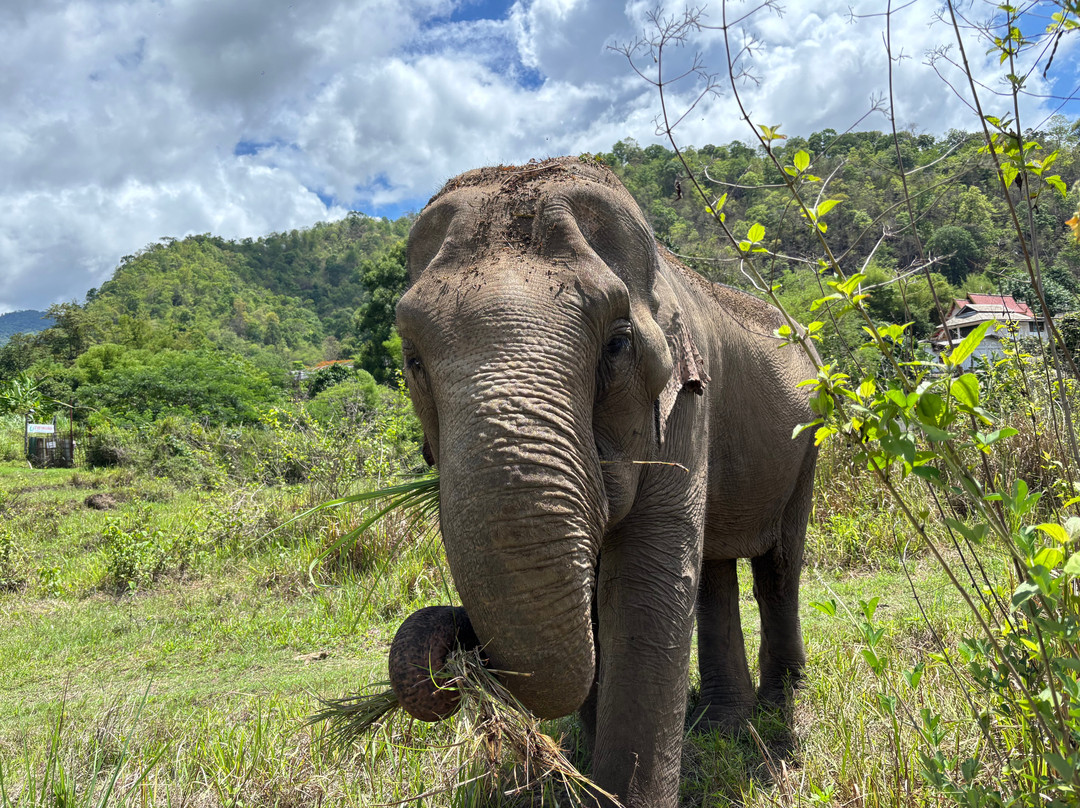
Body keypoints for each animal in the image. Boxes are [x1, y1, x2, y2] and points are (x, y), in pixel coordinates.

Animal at [394, 156, 818, 807]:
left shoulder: (685, 404)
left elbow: (645, 581)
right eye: (413, 361)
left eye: (617, 345)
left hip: (811, 443)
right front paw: (587, 773)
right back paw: (721, 722)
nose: (461, 643)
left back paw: (778, 704)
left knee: (779, 564)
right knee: (713, 567)